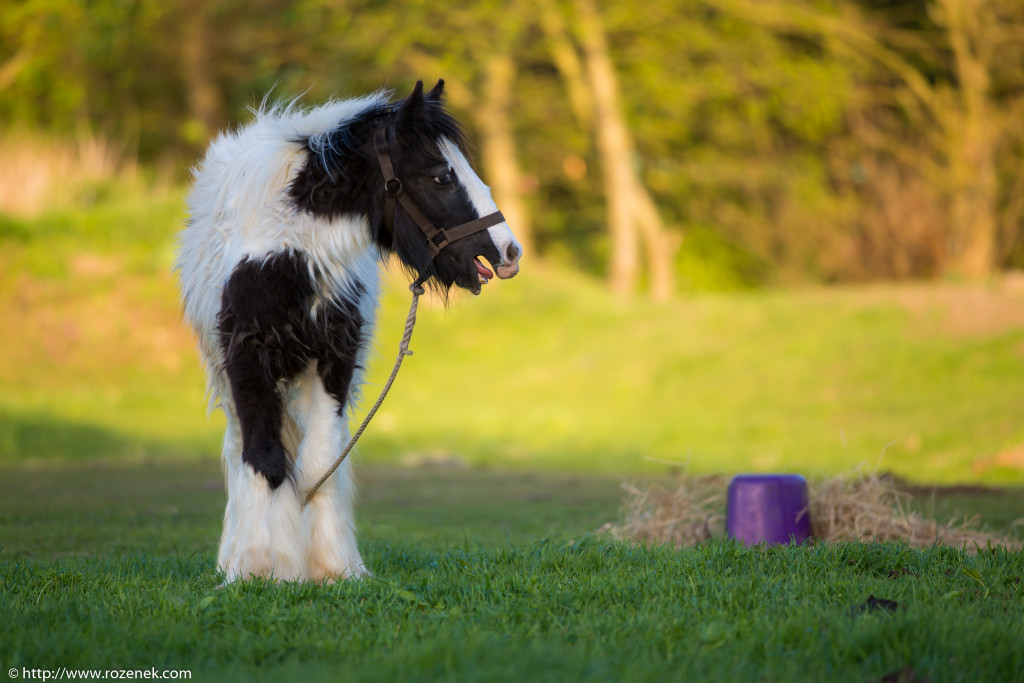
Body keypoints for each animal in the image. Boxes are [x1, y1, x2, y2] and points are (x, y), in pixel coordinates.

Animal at [174, 80, 520, 581]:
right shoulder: (246, 361)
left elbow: (320, 460)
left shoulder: (334, 361)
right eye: (441, 176)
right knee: (242, 447)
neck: (289, 255)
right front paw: (260, 568)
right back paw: (234, 556)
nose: (509, 251)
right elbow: (263, 458)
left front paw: (332, 568)